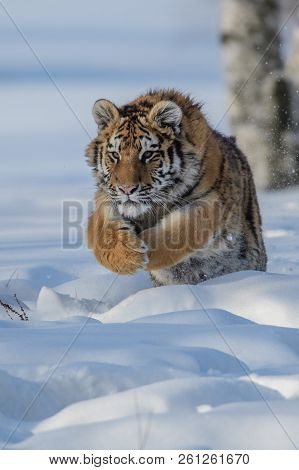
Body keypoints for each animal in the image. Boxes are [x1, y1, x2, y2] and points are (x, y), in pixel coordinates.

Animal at [85, 88, 268, 286]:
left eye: (147, 154)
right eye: (115, 155)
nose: (126, 189)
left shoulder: (210, 202)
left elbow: (178, 231)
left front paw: (142, 251)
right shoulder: (105, 196)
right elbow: (100, 229)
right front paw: (127, 257)